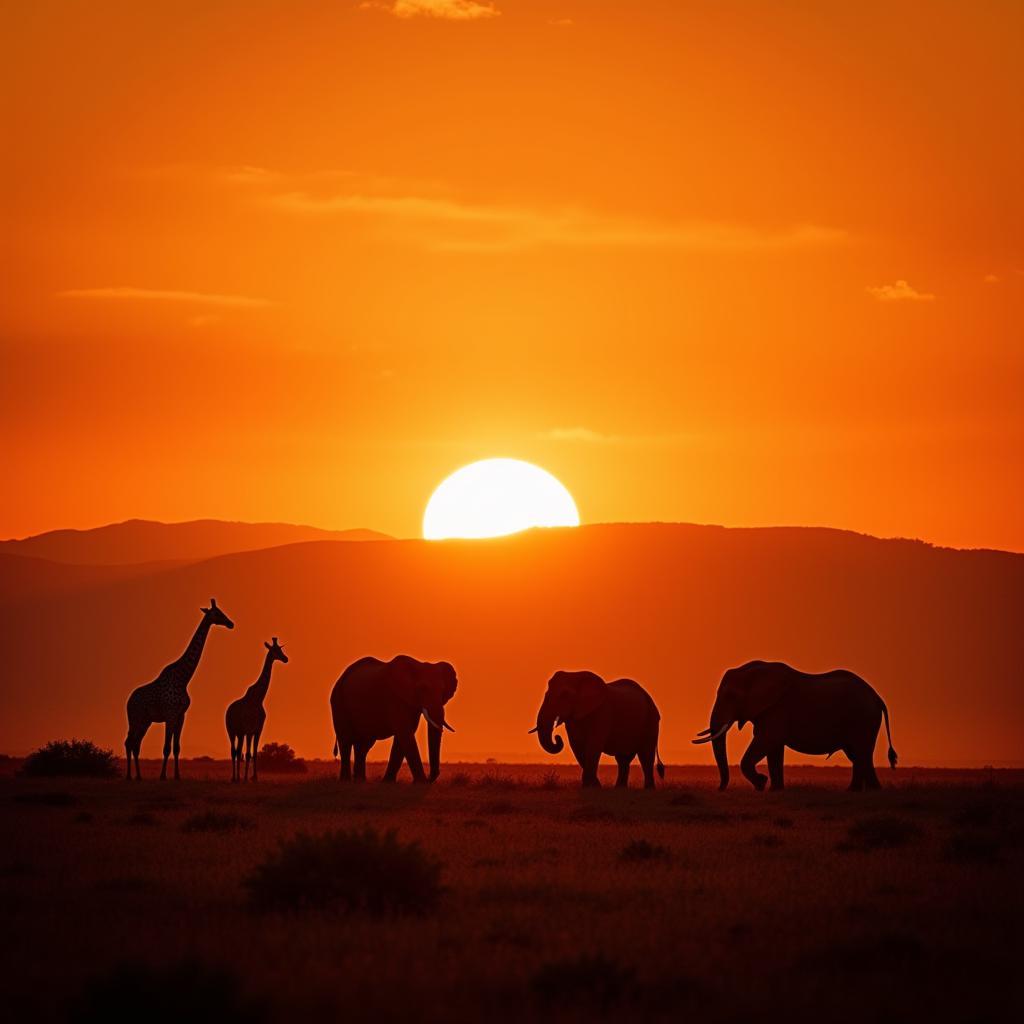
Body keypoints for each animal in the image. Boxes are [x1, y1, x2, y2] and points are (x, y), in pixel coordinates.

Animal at [123, 598, 234, 778]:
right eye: (218, 613)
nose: (231, 623)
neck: (183, 678)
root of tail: (128, 701)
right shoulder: (170, 714)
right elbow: (166, 748)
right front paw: (162, 776)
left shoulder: (181, 716)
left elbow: (176, 748)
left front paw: (177, 776)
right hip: (135, 718)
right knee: (129, 743)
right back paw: (129, 776)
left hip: (145, 721)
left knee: (135, 744)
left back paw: (138, 777)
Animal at [225, 630, 286, 782]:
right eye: (275, 650)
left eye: (281, 649)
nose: (286, 658)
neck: (259, 699)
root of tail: (229, 711)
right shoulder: (252, 730)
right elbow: (250, 753)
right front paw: (250, 778)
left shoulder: (254, 730)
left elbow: (251, 753)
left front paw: (251, 777)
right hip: (235, 731)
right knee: (236, 751)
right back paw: (236, 778)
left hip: (235, 732)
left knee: (236, 751)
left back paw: (236, 777)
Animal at [329, 655, 458, 782]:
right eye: (422, 688)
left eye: (443, 691)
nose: (430, 777)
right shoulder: (396, 699)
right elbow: (405, 733)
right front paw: (421, 783)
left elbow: (404, 736)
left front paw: (387, 782)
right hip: (338, 704)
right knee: (345, 741)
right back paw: (346, 781)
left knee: (363, 746)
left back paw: (360, 781)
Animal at [532, 667, 667, 786]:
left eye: (565, 695)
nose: (557, 737)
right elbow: (578, 747)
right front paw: (594, 786)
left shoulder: (603, 713)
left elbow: (593, 746)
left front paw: (591, 786)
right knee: (623, 759)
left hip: (651, 721)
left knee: (646, 757)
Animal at [696, 659, 897, 794]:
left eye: (731, 696)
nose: (720, 789)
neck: (755, 671)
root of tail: (878, 697)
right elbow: (773, 749)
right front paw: (774, 790)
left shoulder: (777, 709)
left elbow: (766, 740)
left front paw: (761, 784)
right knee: (860, 755)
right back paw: (870, 791)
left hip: (863, 718)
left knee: (861, 752)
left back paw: (857, 792)